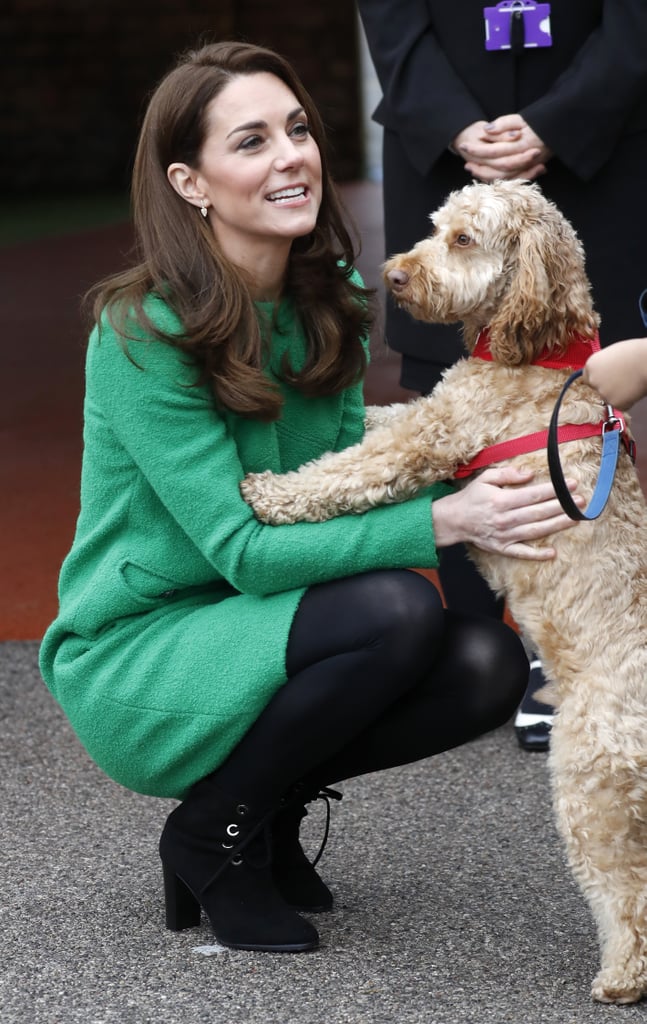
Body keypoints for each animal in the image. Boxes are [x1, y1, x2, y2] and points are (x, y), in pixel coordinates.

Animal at [241, 180, 647, 1003]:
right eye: (432, 226)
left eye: (464, 239)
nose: (391, 275)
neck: (541, 351)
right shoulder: (424, 413)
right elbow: (375, 417)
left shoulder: (430, 438)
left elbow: (347, 469)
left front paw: (271, 493)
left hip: (592, 785)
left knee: (626, 892)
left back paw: (622, 975)